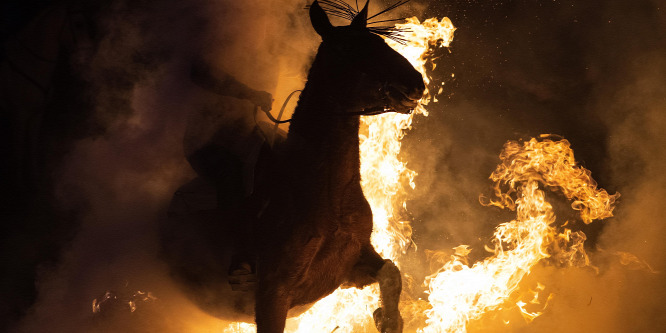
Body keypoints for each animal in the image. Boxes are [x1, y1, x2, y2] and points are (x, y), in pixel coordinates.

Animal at [158, 1, 422, 330]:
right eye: (347, 47)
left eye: (380, 43)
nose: (416, 83)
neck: (328, 195)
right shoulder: (273, 294)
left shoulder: (351, 266)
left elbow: (391, 272)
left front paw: (386, 319)